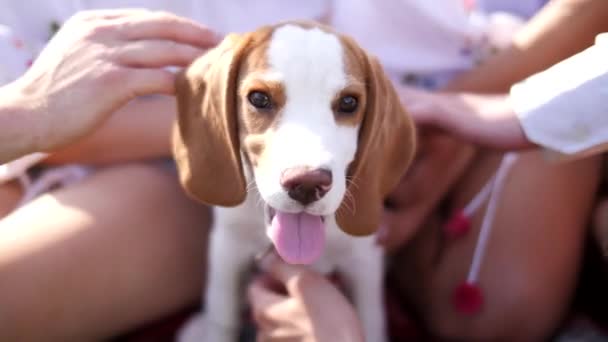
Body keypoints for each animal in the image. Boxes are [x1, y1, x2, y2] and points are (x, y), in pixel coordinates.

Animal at [173, 21, 416, 342]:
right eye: (259, 98)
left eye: (349, 102)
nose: (307, 183)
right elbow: (221, 319)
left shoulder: (365, 261)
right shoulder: (227, 248)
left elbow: (371, 321)